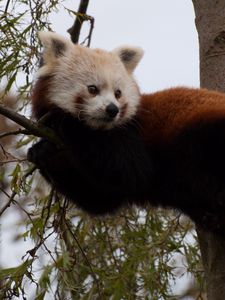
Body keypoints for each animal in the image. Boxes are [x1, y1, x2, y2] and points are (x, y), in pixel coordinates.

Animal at [28, 31, 225, 236]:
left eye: (118, 93)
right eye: (92, 89)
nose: (112, 109)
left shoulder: (133, 137)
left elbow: (129, 171)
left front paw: (64, 120)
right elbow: (99, 198)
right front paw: (42, 152)